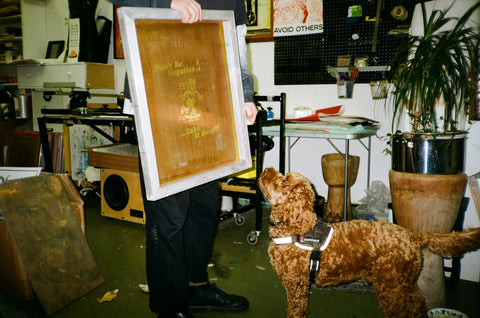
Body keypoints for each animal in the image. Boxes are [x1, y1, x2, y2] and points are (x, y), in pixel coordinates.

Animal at [258, 168, 480, 316]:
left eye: (284, 179)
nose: (267, 168)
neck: (293, 227)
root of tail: (410, 235)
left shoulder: (297, 285)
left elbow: (296, 311)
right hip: (405, 283)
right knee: (417, 303)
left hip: (390, 287)